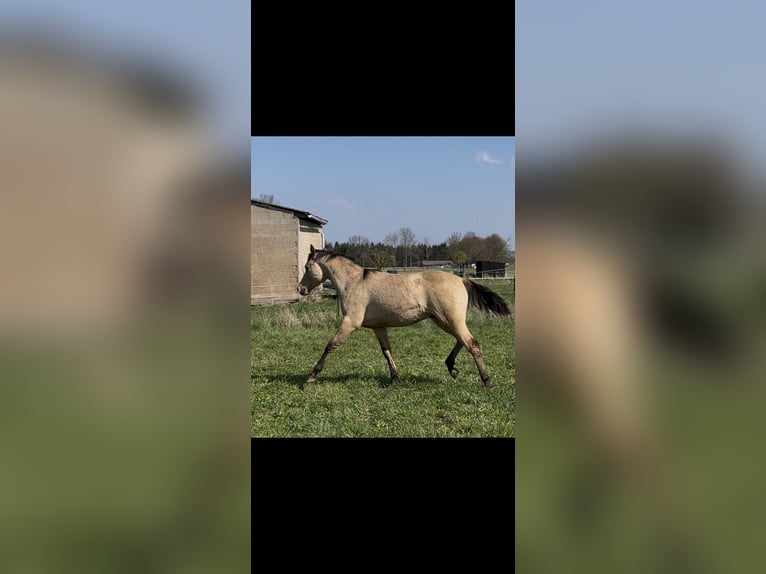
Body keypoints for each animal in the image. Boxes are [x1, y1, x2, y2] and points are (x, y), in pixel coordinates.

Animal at [297, 245, 512, 388]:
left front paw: (311, 377)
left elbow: (330, 345)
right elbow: (386, 351)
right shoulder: (378, 327)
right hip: (442, 320)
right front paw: (394, 378)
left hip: (450, 320)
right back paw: (451, 367)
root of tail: (462, 280)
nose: (300, 289)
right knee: (463, 340)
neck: (355, 282)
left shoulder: (350, 322)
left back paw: (486, 380)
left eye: (307, 267)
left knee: (472, 343)